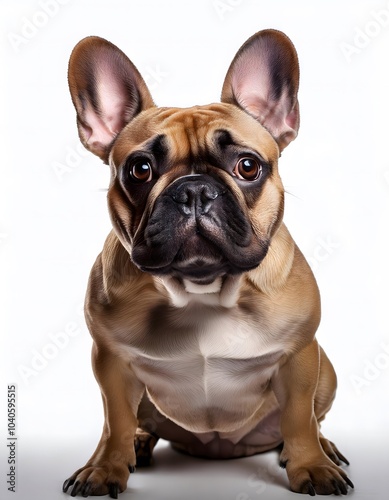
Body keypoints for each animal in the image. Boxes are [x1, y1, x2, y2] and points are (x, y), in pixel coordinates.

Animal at [63, 30, 352, 496]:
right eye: (140, 169)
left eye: (248, 166)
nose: (194, 189)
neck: (203, 288)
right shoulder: (110, 362)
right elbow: (115, 421)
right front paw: (105, 468)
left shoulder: (299, 356)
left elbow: (299, 418)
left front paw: (312, 464)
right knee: (138, 422)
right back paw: (140, 444)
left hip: (326, 371)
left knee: (311, 418)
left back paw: (320, 448)